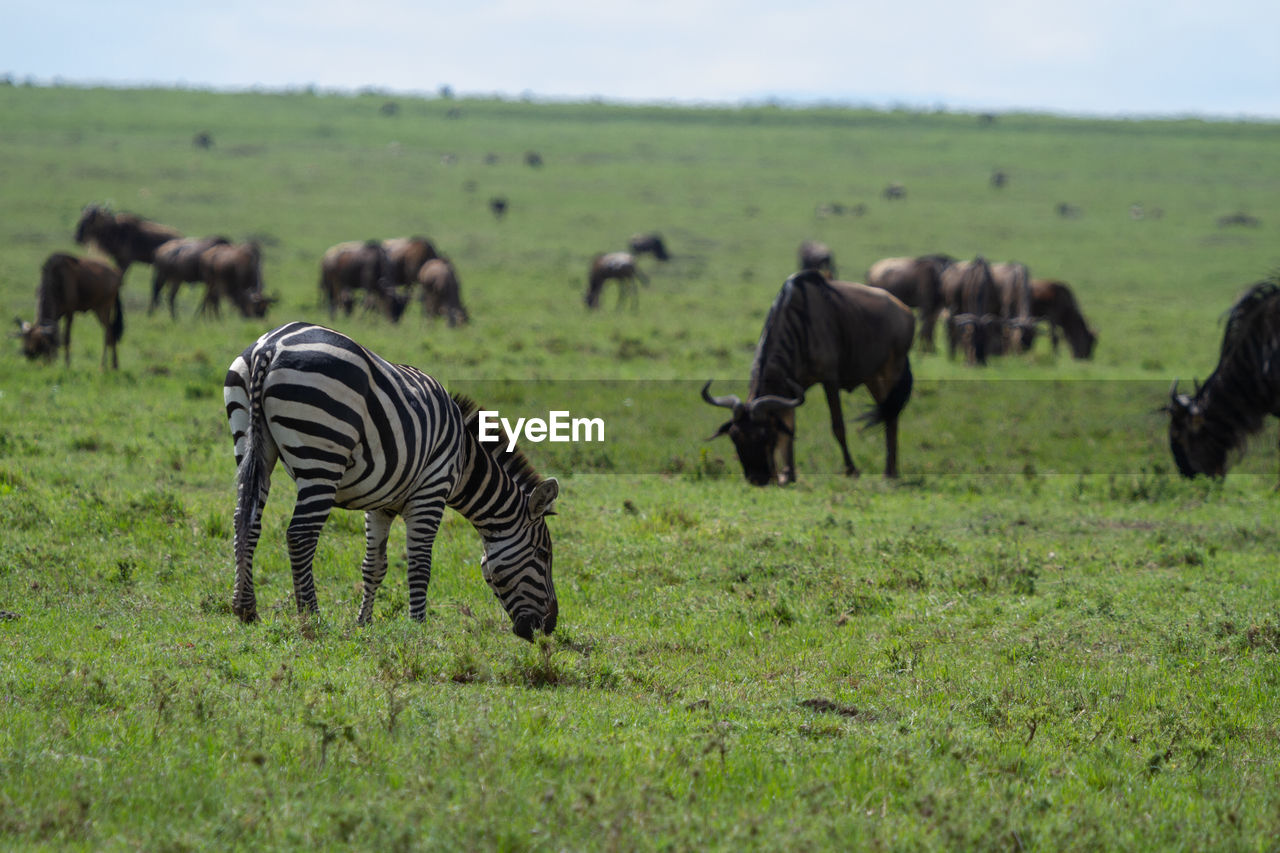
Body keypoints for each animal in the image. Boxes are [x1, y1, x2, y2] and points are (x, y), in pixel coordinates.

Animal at [221, 320, 560, 637]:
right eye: (543, 554)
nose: (549, 626)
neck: (463, 458)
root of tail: (271, 345)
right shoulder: (431, 492)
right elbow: (420, 563)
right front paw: (419, 626)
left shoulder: (380, 503)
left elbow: (373, 565)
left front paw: (364, 622)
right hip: (322, 454)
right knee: (301, 534)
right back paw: (311, 617)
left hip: (251, 442)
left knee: (245, 520)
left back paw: (246, 609)